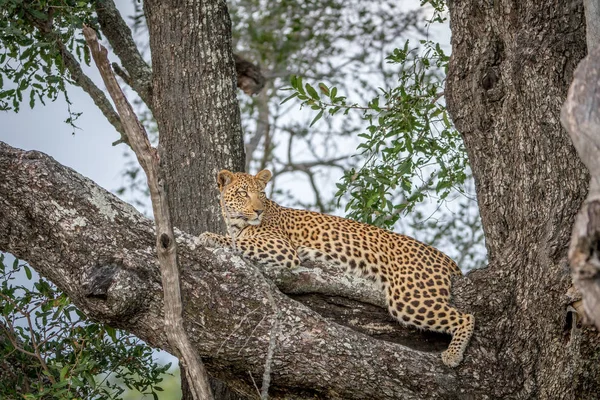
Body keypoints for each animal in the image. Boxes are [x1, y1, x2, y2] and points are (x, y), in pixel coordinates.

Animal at [199, 168, 476, 366]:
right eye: (243, 193)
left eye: (262, 194)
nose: (257, 210)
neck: (236, 223)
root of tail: (443, 256)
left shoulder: (282, 247)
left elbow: (237, 242)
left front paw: (208, 236)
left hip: (409, 298)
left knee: (466, 316)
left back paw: (453, 356)